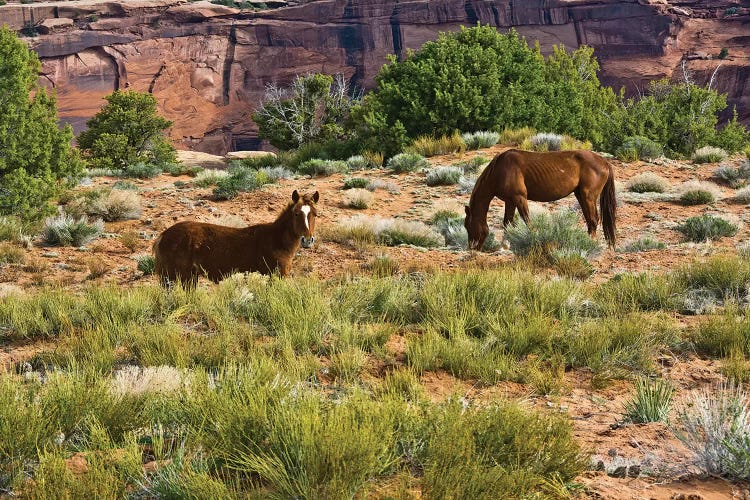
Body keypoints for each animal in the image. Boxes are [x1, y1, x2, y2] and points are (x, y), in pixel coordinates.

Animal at [153, 189, 320, 288]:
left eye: (315, 214)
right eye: (296, 214)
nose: (307, 240)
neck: (277, 239)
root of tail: (163, 235)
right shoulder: (277, 274)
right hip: (179, 275)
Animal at [468, 148, 620, 250]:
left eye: (468, 225)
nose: (472, 247)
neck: (500, 170)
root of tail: (604, 162)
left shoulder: (519, 198)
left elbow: (527, 220)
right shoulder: (510, 201)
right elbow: (507, 222)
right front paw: (505, 245)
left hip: (588, 196)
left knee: (593, 220)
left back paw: (590, 244)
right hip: (581, 196)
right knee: (590, 220)